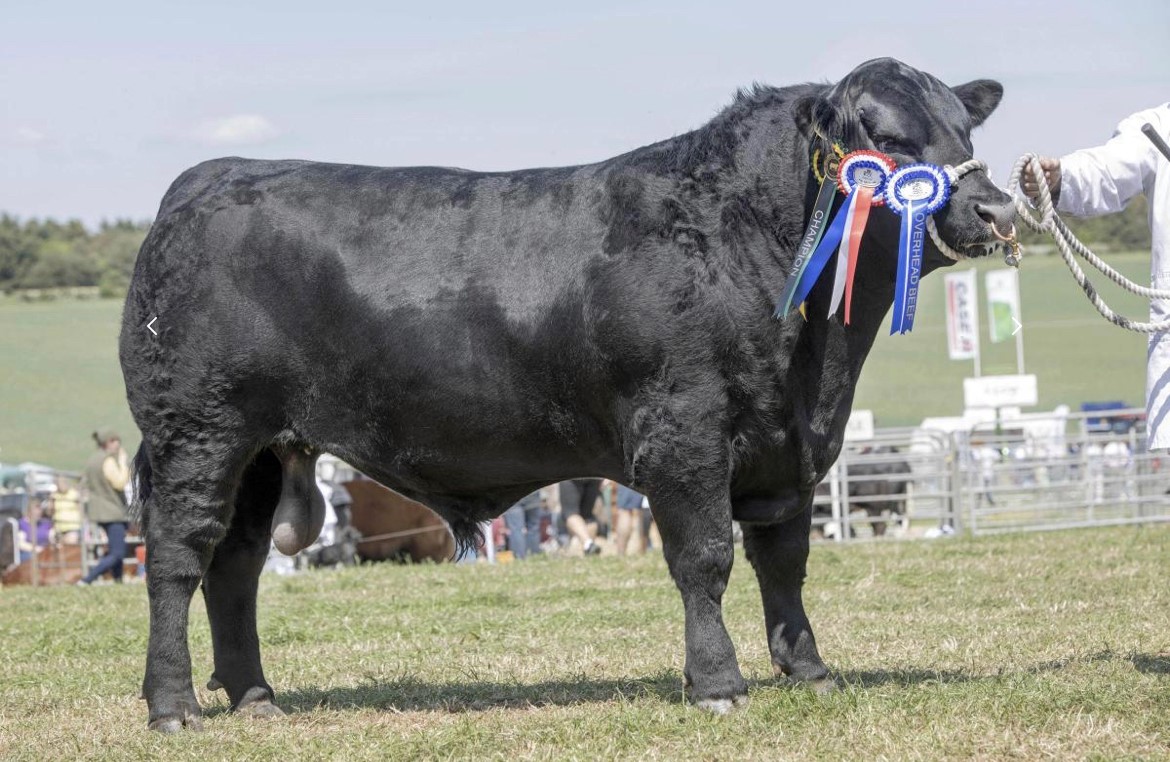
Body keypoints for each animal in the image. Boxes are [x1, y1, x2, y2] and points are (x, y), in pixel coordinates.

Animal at [119, 58, 1015, 731]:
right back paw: (173, 706)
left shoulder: (785, 447)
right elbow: (706, 559)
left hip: (263, 450)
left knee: (235, 564)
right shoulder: (684, 435)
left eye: (965, 131)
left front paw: (808, 667)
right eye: (889, 140)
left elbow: (784, 563)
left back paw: (255, 697)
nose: (997, 207)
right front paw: (717, 683)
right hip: (199, 431)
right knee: (178, 557)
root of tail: (202, 180)